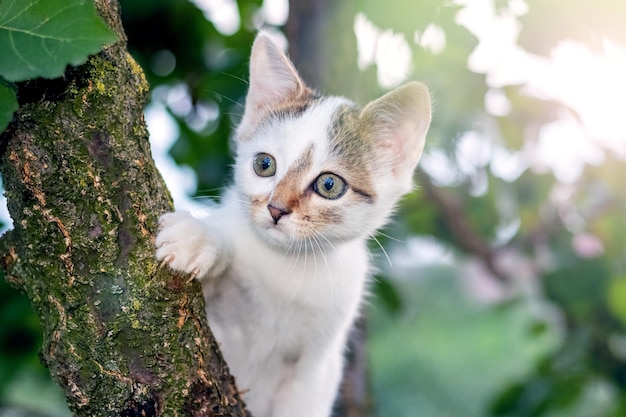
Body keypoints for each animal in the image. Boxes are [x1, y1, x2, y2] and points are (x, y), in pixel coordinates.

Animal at [155, 31, 428, 416]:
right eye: (264, 164)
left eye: (329, 185)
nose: (276, 209)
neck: (285, 266)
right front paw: (198, 239)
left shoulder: (315, 368)